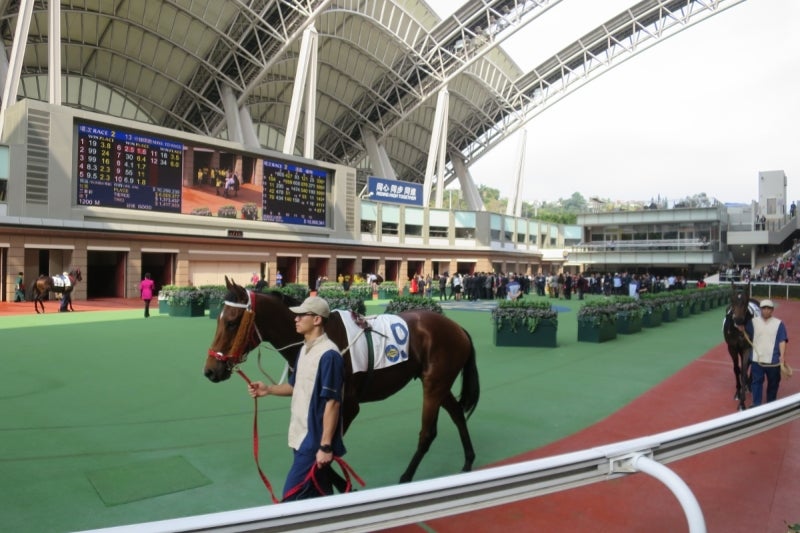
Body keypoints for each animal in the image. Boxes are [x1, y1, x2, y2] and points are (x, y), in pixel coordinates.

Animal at [204, 277, 480, 484]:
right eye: (218, 319)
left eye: (231, 323)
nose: (210, 371)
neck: (315, 336)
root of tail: (458, 328)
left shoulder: (347, 405)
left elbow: (324, 452)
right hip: (440, 383)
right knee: (457, 413)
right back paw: (468, 460)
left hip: (434, 384)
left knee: (428, 432)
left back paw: (406, 477)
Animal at [722, 282, 758, 411]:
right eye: (732, 300)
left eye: (745, 301)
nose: (738, 319)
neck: (738, 330)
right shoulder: (732, 347)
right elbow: (736, 369)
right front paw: (738, 393)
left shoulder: (747, 347)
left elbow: (743, 370)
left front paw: (742, 403)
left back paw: (749, 384)